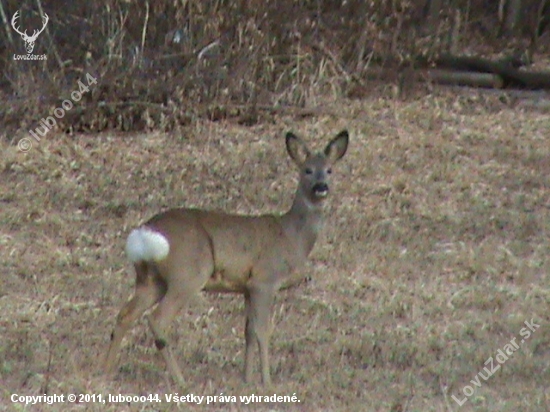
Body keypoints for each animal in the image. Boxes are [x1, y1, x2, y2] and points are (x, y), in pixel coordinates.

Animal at [104, 130, 350, 384]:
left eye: (329, 169)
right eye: (307, 170)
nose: (321, 187)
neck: (293, 236)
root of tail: (144, 233)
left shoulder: (247, 287)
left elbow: (248, 332)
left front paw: (247, 379)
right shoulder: (264, 280)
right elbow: (263, 331)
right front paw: (266, 381)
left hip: (151, 280)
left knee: (125, 315)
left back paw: (104, 372)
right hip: (188, 274)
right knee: (158, 320)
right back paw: (180, 381)